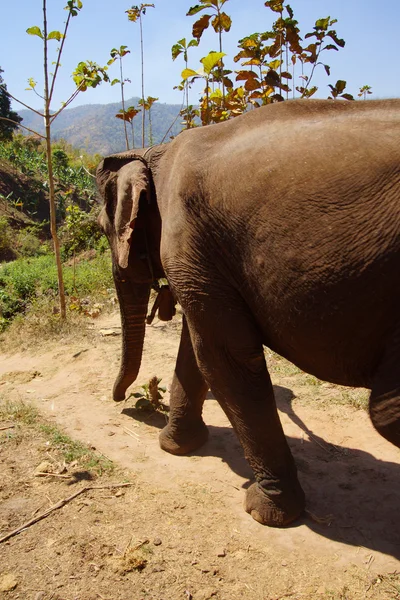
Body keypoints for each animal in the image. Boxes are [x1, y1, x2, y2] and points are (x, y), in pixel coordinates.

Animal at [97, 101, 400, 528]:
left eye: (103, 228)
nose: (121, 399)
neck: (154, 151)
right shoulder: (205, 260)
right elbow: (197, 351)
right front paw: (175, 446)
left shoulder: (188, 237)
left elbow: (221, 357)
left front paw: (264, 512)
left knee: (386, 411)